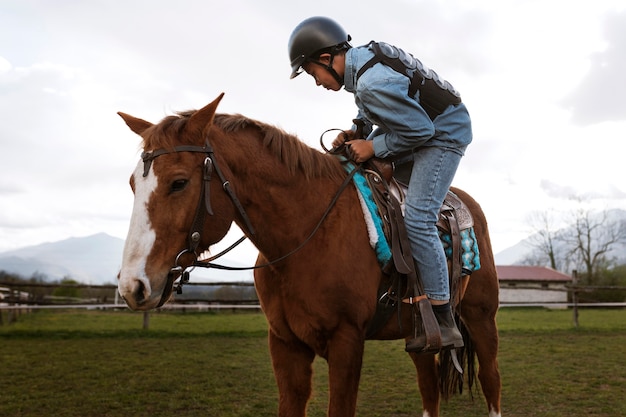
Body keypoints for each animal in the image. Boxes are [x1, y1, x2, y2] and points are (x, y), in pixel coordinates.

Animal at [114, 94, 500, 416]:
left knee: (491, 382)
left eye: (179, 182)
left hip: (481, 318)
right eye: (133, 184)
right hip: (419, 336)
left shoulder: (347, 343)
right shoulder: (286, 345)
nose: (133, 286)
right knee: (429, 387)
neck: (307, 234)